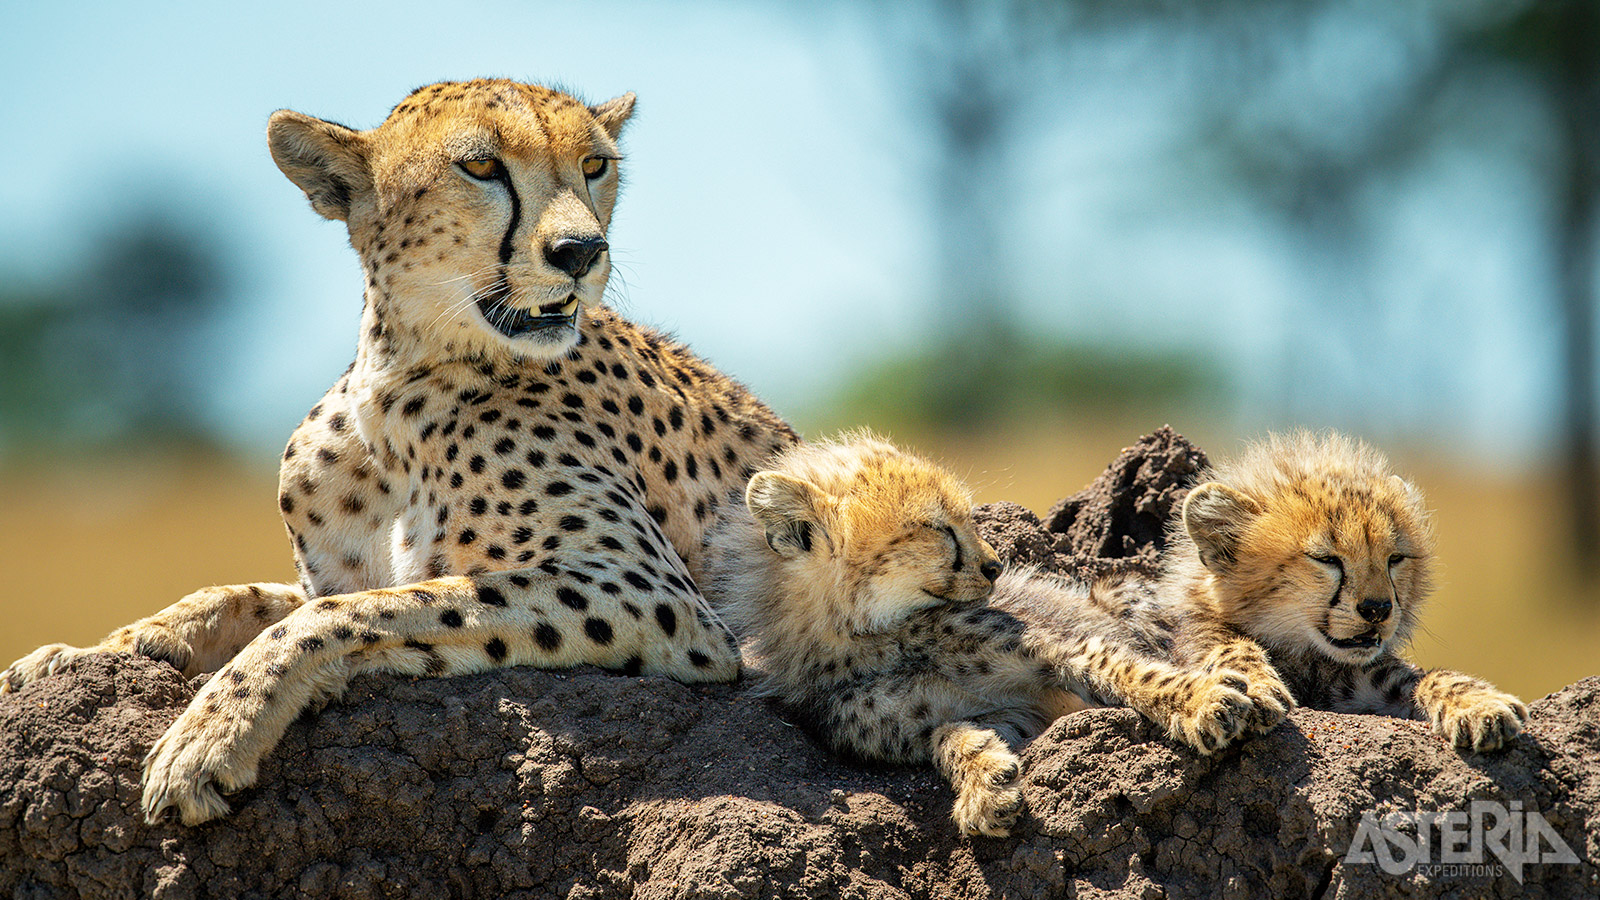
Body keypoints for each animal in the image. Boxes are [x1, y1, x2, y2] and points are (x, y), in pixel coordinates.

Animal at [0, 80, 800, 826]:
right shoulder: (335, 573)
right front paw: (81, 656)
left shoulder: (657, 597)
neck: (398, 382)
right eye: (481, 166)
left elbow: (356, 613)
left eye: (595, 165)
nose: (581, 253)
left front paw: (209, 737)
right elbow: (241, 597)